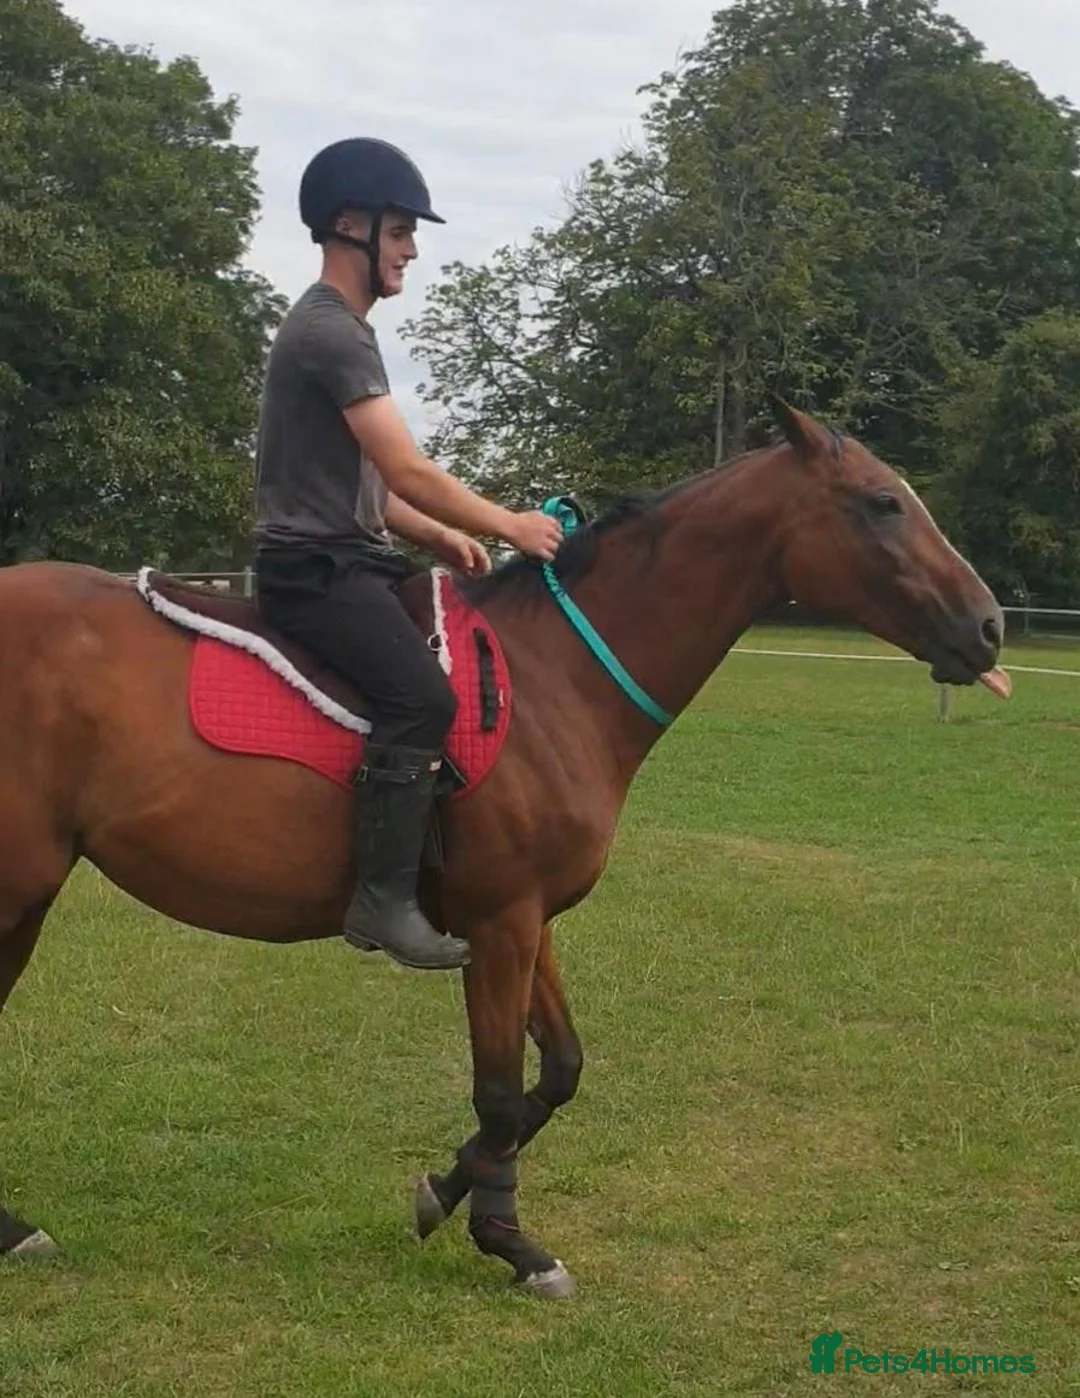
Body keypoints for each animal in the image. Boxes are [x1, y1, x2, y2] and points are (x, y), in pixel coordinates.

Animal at [0, 405, 1008, 1297]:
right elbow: (497, 1086)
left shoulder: (531, 921)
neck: (555, 678)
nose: (990, 626)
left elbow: (557, 1072)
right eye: (883, 503)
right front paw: (509, 1241)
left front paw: (447, 1192)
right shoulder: (497, 925)